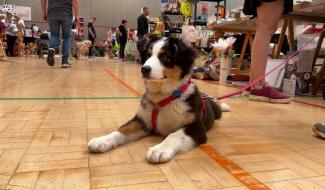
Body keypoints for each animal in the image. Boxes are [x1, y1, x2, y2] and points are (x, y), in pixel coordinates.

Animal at [86, 36, 228, 164]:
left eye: (165, 57)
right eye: (148, 55)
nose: (144, 69)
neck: (162, 97)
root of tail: (207, 97)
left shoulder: (196, 127)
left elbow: (174, 135)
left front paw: (160, 150)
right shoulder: (142, 120)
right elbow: (124, 129)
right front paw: (102, 140)